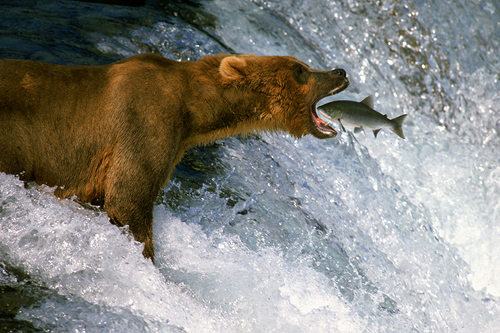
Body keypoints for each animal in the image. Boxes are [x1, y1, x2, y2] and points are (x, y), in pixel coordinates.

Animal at [0, 53, 350, 262]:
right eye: (300, 70)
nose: (340, 71)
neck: (193, 112)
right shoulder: (146, 121)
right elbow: (128, 199)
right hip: (14, 138)